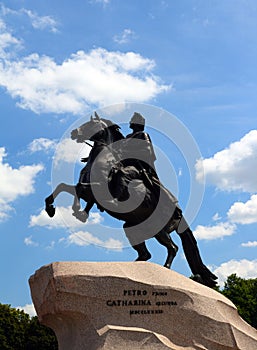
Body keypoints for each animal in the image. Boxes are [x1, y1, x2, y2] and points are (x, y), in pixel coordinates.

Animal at [45, 114, 217, 288]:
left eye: (91, 124)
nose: (74, 132)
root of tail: (179, 213)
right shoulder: (88, 191)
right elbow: (63, 186)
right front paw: (51, 209)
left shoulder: (98, 191)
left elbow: (78, 189)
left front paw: (76, 210)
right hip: (132, 228)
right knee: (146, 254)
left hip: (159, 231)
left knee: (173, 248)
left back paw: (165, 269)